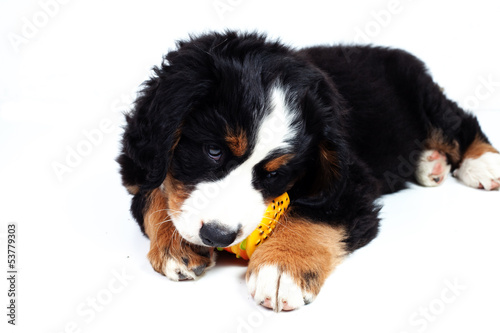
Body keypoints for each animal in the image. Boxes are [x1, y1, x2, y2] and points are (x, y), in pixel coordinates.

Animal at [118, 31, 500, 312]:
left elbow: (314, 215)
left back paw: (482, 163)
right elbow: (154, 194)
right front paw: (176, 245)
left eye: (274, 174)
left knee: (458, 121)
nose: (218, 235)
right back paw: (429, 164)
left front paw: (280, 269)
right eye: (213, 151)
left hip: (421, 95)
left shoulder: (350, 183)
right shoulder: (139, 164)